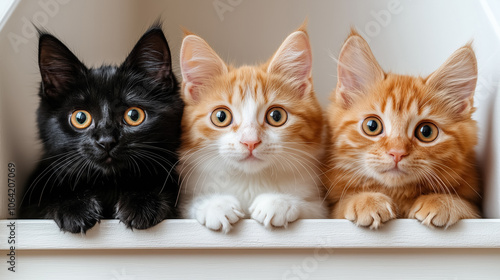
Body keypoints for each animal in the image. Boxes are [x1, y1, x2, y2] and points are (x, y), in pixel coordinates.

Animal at [20, 25, 184, 233]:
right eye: (80, 118)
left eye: (134, 115)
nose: (106, 141)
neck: (108, 185)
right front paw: (73, 207)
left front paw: (143, 202)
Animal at [324, 30, 480, 230]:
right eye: (372, 126)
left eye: (426, 132)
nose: (396, 153)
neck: (398, 194)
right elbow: (339, 207)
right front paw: (365, 200)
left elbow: (468, 206)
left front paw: (442, 200)